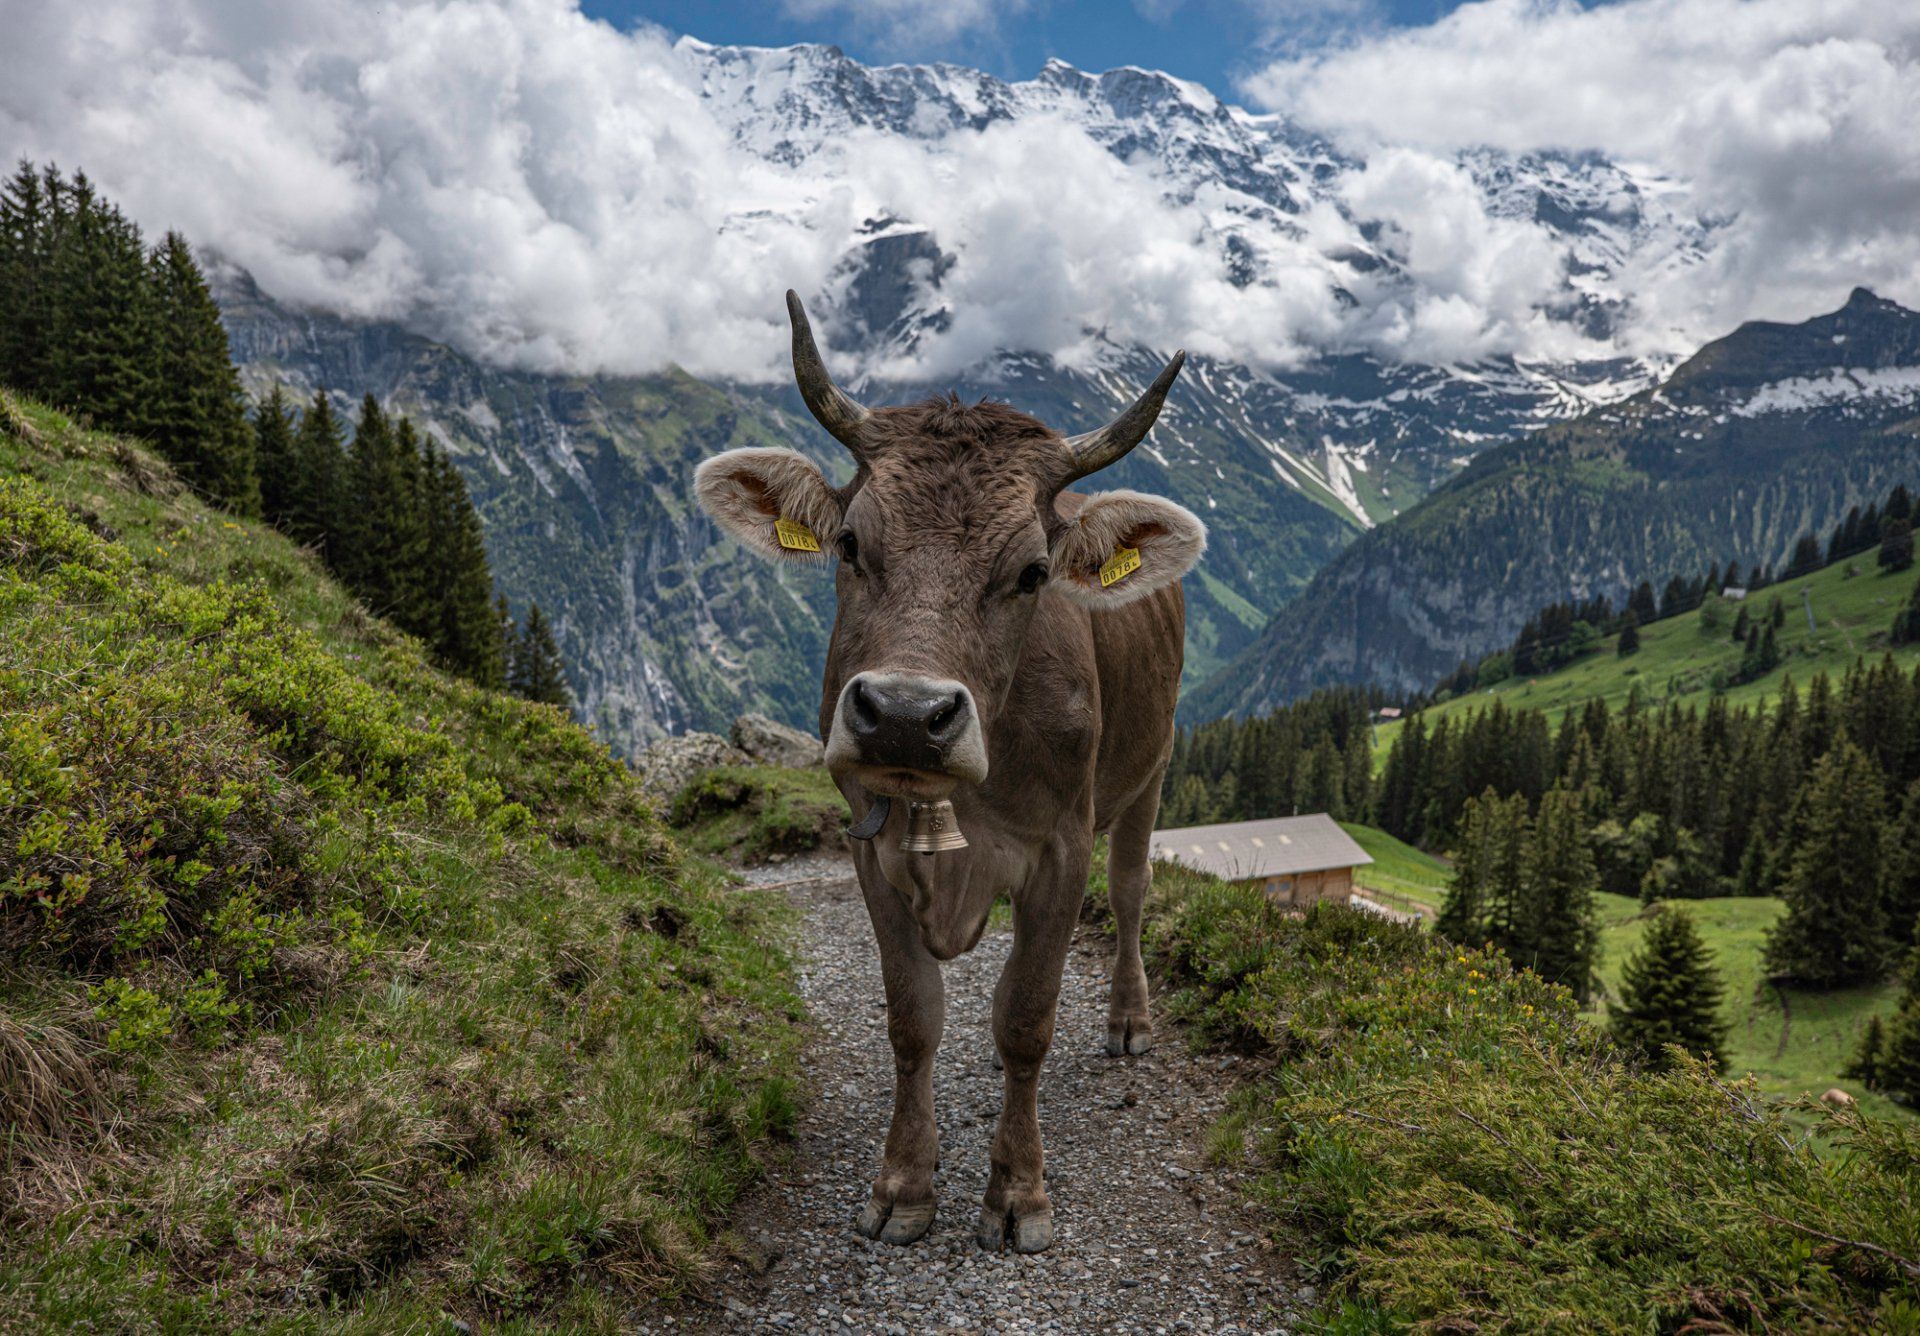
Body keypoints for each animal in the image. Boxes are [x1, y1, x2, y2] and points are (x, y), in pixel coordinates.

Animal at [691, 289, 1198, 1251]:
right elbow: (913, 1016)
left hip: (1153, 766)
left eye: (1034, 572)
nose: (902, 715)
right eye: (851, 544)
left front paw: (1019, 1194)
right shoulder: (869, 850)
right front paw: (903, 1186)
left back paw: (1129, 1019)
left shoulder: (1060, 850)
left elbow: (1027, 1017)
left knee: (1133, 891)